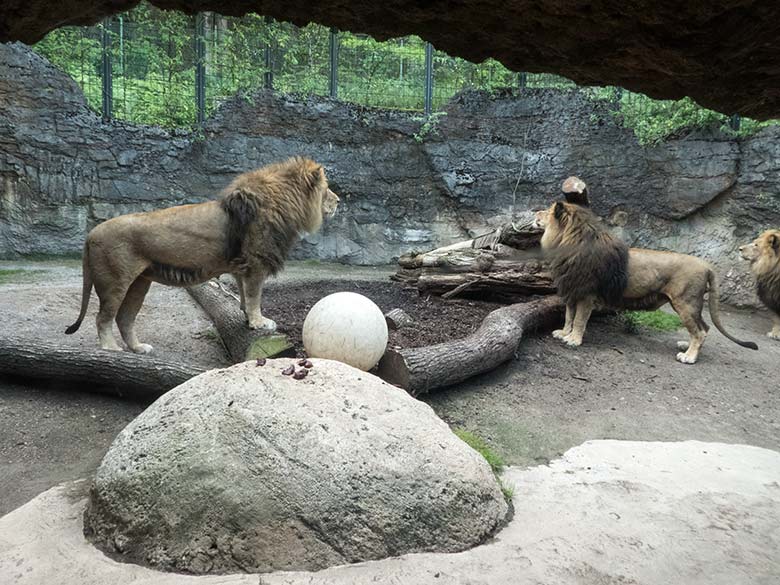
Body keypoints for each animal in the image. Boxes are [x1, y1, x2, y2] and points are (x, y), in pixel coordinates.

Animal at [64, 155, 338, 354]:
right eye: (327, 189)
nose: (338, 201)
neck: (284, 202)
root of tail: (90, 233)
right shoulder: (256, 262)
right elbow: (254, 296)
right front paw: (260, 322)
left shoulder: (242, 266)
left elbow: (243, 296)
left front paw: (246, 319)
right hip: (115, 282)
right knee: (102, 317)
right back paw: (110, 349)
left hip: (139, 283)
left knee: (124, 318)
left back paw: (139, 348)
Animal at [532, 181, 760, 364]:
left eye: (547, 211)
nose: (535, 213)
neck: (566, 245)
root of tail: (707, 265)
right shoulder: (571, 289)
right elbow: (568, 316)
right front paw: (563, 333)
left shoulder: (587, 295)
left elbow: (579, 319)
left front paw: (573, 340)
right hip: (689, 304)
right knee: (704, 327)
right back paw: (685, 346)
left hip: (685, 302)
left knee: (701, 331)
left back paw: (688, 357)